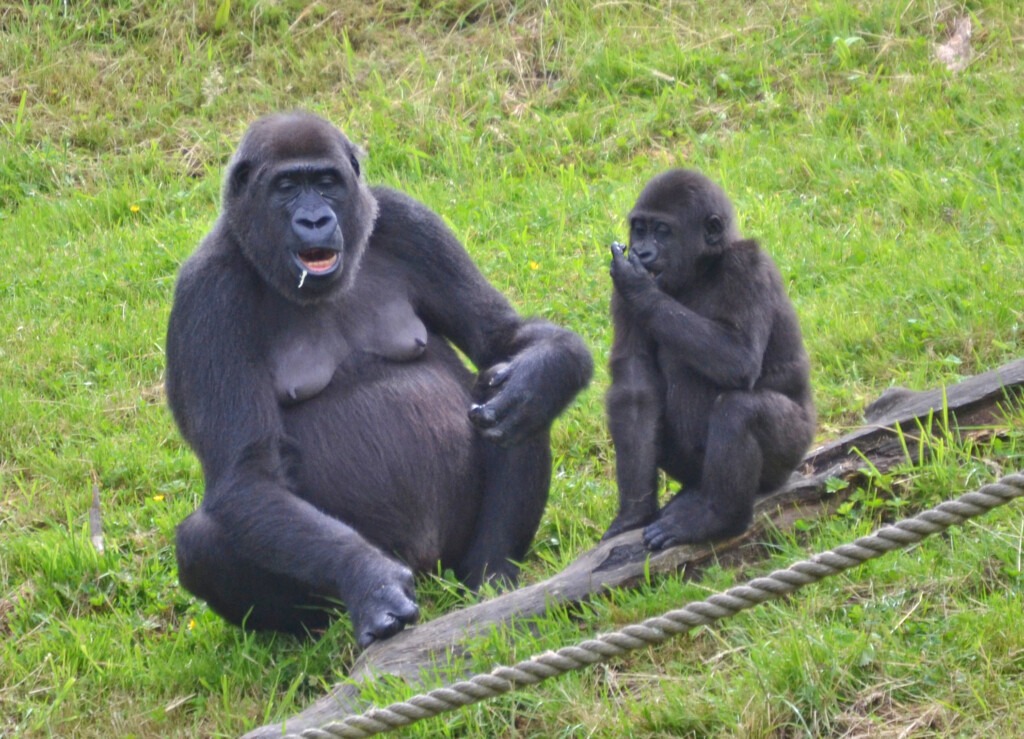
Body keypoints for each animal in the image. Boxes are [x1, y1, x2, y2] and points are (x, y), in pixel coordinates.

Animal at [162, 111, 589, 646]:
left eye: (326, 183)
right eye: (286, 188)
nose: (315, 220)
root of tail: (430, 572)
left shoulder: (407, 221)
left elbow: (503, 340)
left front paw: (538, 375)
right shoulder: (207, 293)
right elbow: (248, 474)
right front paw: (369, 580)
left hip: (453, 557)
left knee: (516, 406)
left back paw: (492, 577)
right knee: (204, 539)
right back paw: (310, 636)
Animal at [598, 168, 815, 548]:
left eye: (662, 231)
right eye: (639, 228)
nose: (641, 250)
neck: (703, 268)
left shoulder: (747, 266)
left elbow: (739, 357)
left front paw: (640, 287)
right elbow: (635, 388)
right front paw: (633, 513)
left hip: (795, 450)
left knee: (740, 410)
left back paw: (716, 517)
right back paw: (695, 495)